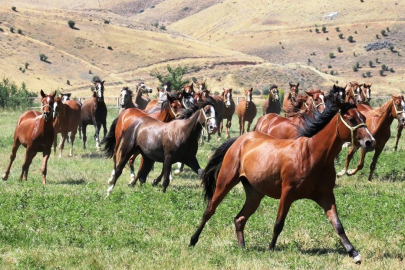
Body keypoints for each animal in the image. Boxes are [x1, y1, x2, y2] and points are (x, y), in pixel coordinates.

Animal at [189, 93, 376, 264]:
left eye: (363, 117)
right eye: (351, 119)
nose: (370, 142)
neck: (312, 155)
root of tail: (240, 140)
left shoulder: (326, 196)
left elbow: (338, 225)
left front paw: (354, 253)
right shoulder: (287, 194)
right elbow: (279, 223)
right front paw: (271, 249)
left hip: (254, 194)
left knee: (239, 219)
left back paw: (242, 247)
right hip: (225, 182)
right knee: (209, 210)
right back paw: (192, 241)